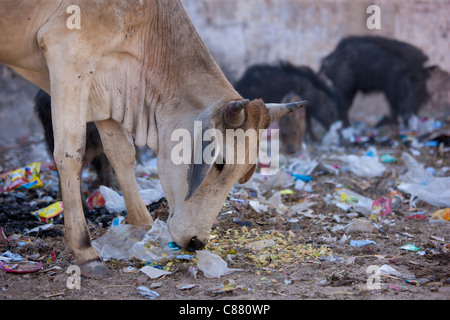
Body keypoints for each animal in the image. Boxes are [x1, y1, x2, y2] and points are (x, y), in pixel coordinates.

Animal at [0, 0, 306, 276]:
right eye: (219, 163)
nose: (196, 242)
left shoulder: (104, 85)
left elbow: (122, 154)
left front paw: (143, 225)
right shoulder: (68, 55)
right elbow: (70, 154)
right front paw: (85, 252)